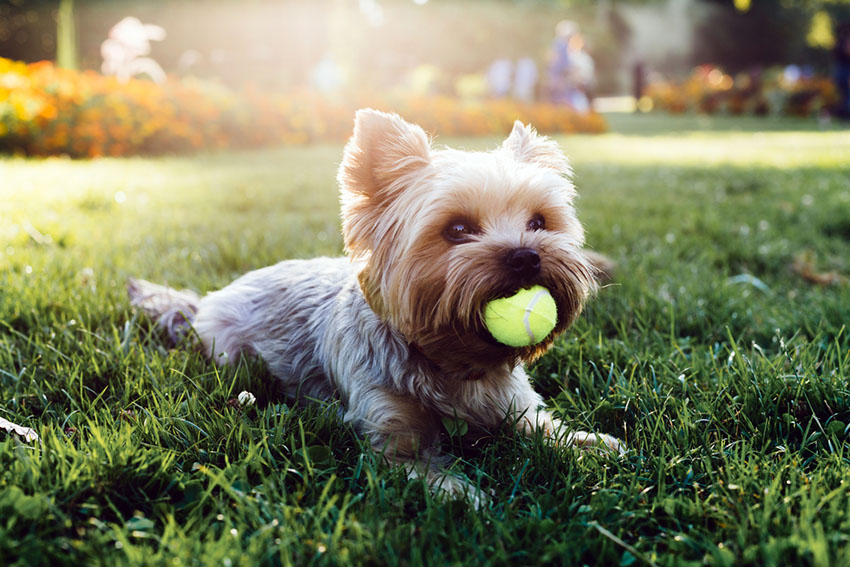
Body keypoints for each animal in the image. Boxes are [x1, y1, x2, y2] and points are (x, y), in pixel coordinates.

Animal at [131, 110, 624, 506]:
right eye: (457, 229)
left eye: (539, 222)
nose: (526, 256)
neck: (455, 360)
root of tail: (207, 299)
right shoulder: (389, 437)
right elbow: (422, 470)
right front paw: (466, 497)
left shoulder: (517, 407)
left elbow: (545, 429)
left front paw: (593, 444)